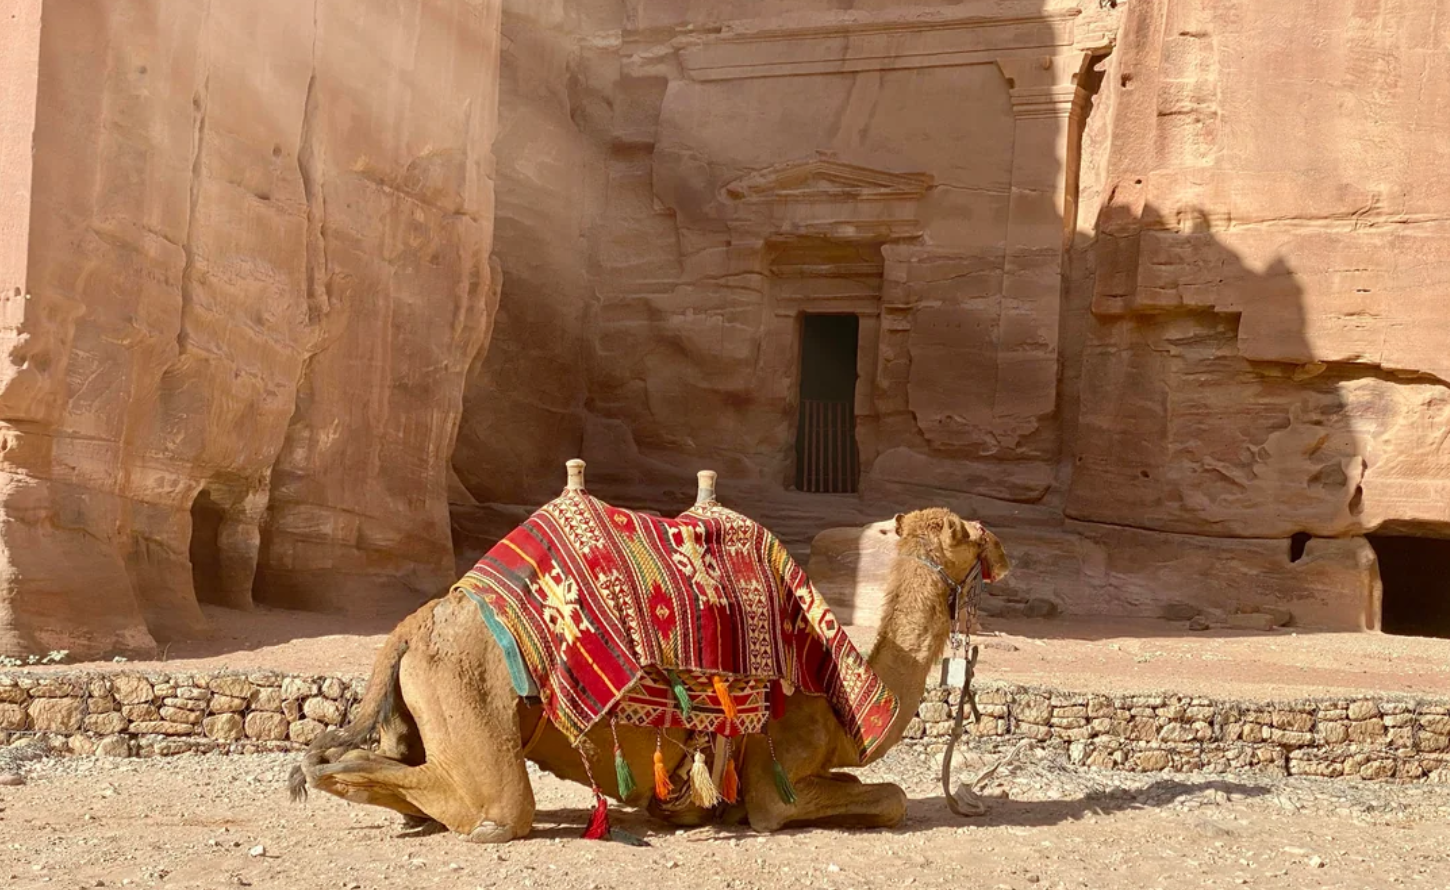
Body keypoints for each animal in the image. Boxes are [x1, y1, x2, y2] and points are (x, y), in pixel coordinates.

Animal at [290, 464, 1010, 843]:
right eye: (972, 533)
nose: (1004, 551)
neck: (844, 703)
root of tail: (413, 624)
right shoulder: (777, 777)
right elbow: (887, 797)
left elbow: (871, 788)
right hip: (474, 690)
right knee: (496, 812)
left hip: (420, 699)